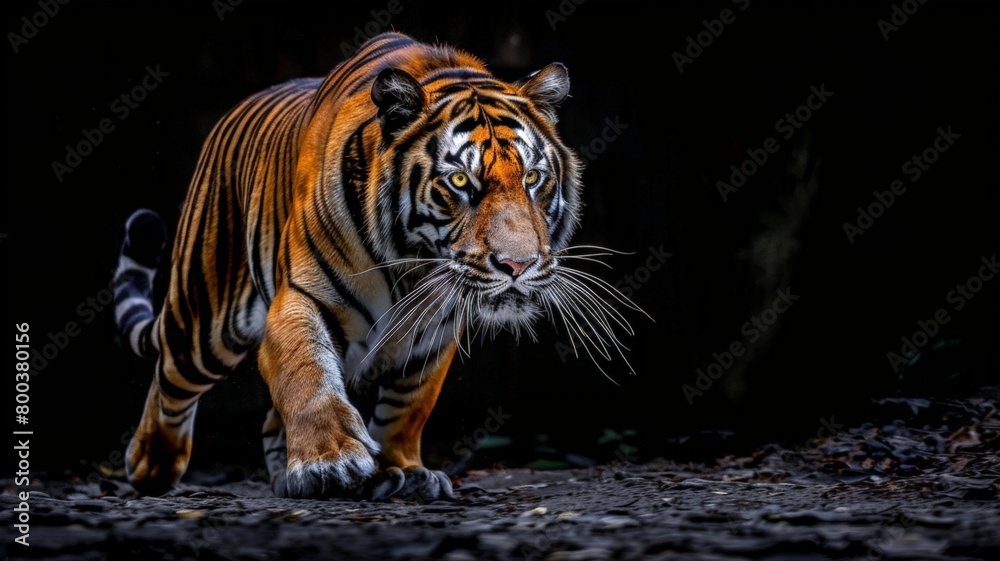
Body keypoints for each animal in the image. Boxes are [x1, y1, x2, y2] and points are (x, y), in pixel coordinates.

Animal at [113, 31, 636, 500]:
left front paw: (400, 470)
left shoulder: (435, 333)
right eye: (460, 181)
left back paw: (285, 476)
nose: (517, 264)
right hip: (204, 320)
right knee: (170, 378)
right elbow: (307, 375)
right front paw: (330, 461)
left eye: (532, 177)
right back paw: (151, 466)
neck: (414, 268)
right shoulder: (302, 297)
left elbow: (408, 407)